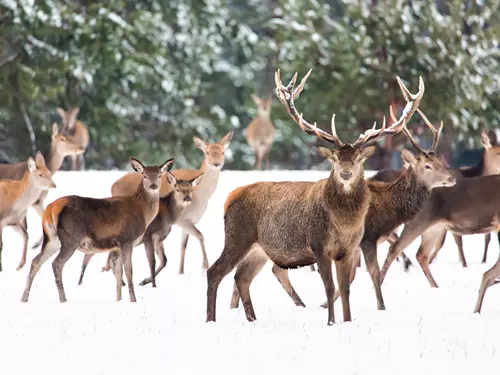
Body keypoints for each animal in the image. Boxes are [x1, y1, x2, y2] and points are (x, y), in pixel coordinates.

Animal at [20, 157, 173, 304]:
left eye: (159, 175)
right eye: (145, 175)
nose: (153, 186)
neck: (143, 212)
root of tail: (50, 208)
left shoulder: (116, 247)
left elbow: (118, 272)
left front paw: (119, 300)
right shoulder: (126, 240)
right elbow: (128, 271)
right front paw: (133, 300)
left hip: (52, 239)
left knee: (36, 261)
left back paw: (24, 298)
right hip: (71, 237)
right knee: (56, 264)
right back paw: (63, 299)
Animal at [205, 69, 424, 328]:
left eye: (358, 158)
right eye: (335, 158)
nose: (345, 173)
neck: (344, 223)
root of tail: (230, 197)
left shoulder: (349, 250)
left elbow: (345, 288)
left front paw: (347, 321)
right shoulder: (319, 245)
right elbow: (329, 288)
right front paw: (330, 322)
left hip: (258, 249)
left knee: (242, 277)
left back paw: (252, 319)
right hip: (237, 236)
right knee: (214, 272)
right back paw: (211, 320)